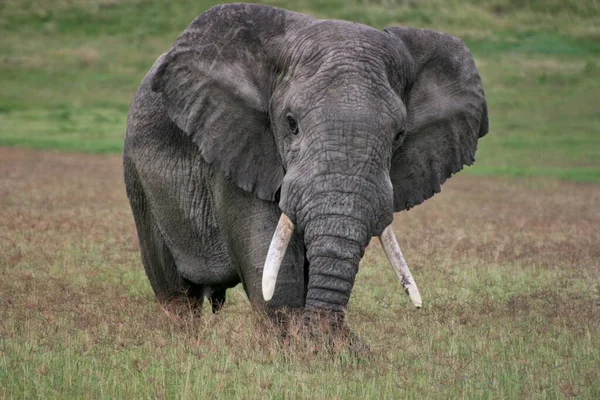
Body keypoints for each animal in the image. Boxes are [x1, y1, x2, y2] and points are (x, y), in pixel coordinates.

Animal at [123, 3, 488, 324]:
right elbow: (278, 284)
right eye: (291, 123)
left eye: (399, 135)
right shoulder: (236, 149)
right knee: (177, 297)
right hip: (139, 180)